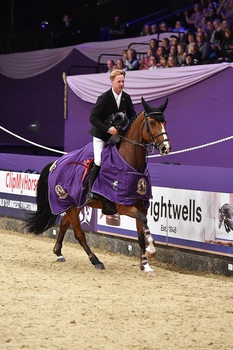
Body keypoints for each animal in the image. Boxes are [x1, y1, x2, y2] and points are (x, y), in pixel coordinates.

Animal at [24, 97, 171, 278]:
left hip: (76, 204)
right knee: (79, 233)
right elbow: (143, 221)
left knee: (64, 223)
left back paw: (58, 252)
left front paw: (146, 265)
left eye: (164, 121)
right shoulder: (122, 205)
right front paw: (151, 251)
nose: (166, 148)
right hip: (68, 203)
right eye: (151, 122)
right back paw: (96, 261)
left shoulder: (141, 204)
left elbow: (141, 234)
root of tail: (55, 163)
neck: (130, 163)